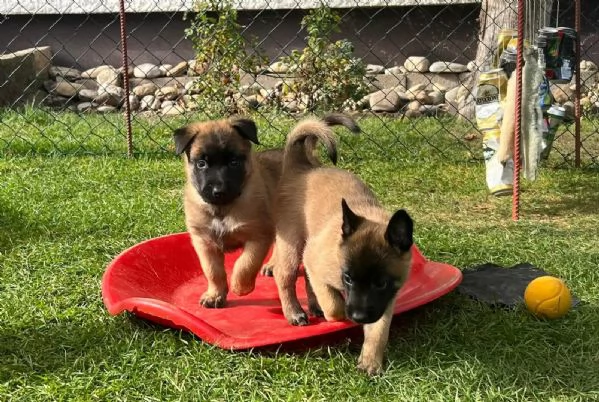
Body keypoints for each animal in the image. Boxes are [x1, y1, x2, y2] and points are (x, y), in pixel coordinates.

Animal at [274, 118, 414, 376]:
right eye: (347, 277)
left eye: (381, 283)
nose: (358, 316)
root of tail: (301, 168)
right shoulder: (320, 265)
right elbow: (335, 306)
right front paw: (338, 313)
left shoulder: (385, 301)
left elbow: (379, 330)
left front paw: (370, 361)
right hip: (292, 246)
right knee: (285, 276)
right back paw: (294, 311)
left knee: (307, 278)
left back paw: (313, 305)